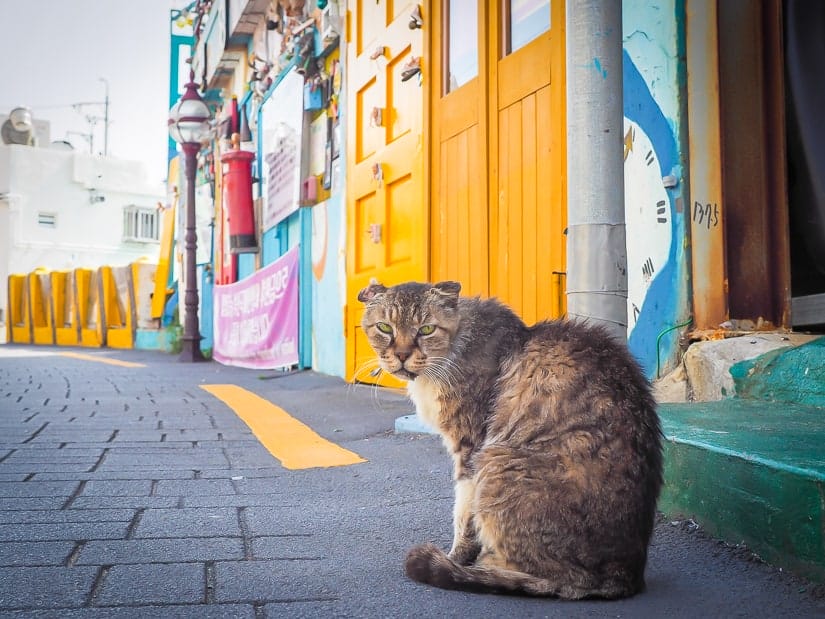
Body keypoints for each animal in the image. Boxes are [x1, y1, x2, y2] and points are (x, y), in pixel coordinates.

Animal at [358, 280, 664, 600]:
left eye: (426, 329)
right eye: (384, 327)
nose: (402, 354)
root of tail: (625, 575)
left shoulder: (471, 449)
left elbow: (463, 516)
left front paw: (456, 559)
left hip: (496, 462)